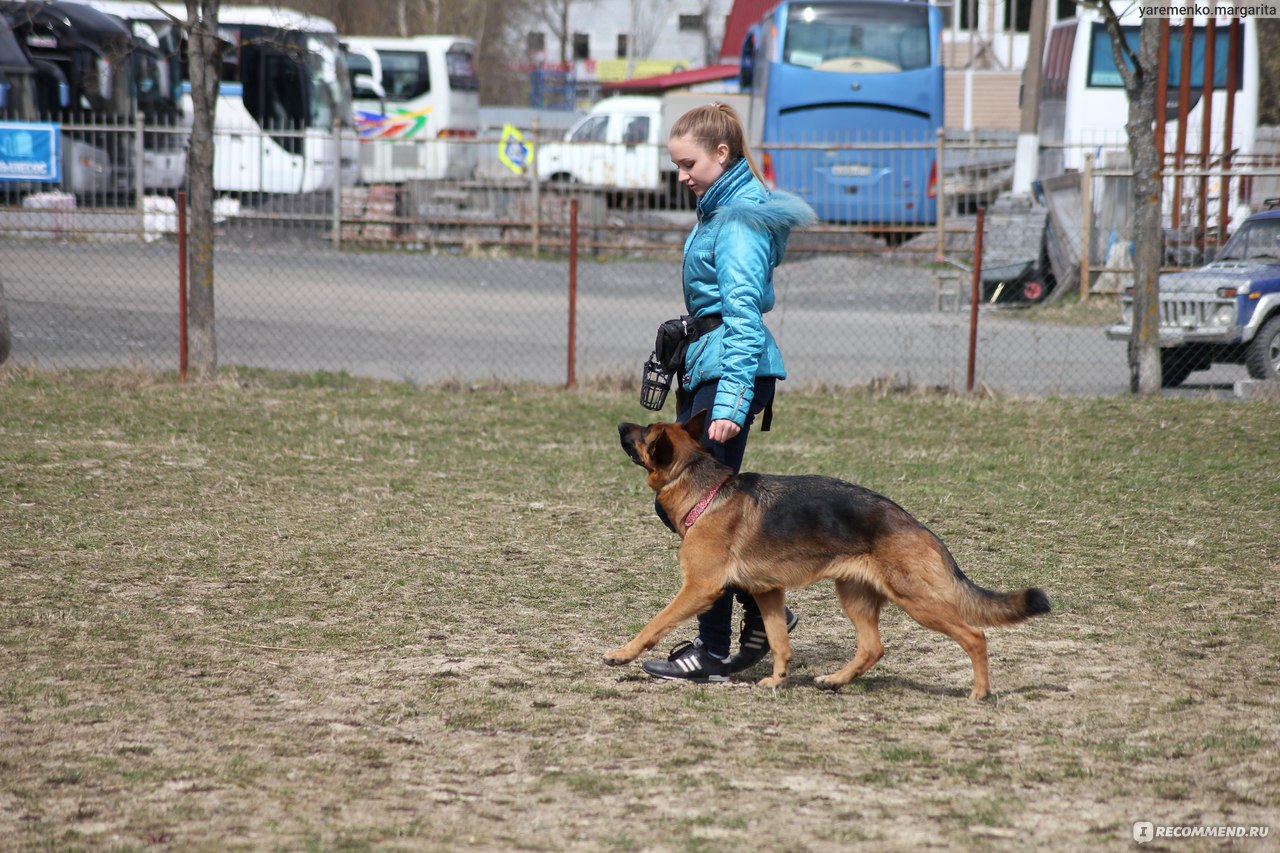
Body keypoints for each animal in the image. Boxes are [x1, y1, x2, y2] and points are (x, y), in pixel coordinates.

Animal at [609, 409, 1049, 696]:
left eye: (644, 432)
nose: (619, 423)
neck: (704, 490)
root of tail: (916, 526)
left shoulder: (699, 588)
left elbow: (655, 623)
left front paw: (622, 654)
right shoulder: (768, 593)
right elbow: (779, 641)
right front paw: (778, 681)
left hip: (917, 601)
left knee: (975, 635)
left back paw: (979, 693)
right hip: (855, 596)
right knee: (872, 648)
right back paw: (835, 680)